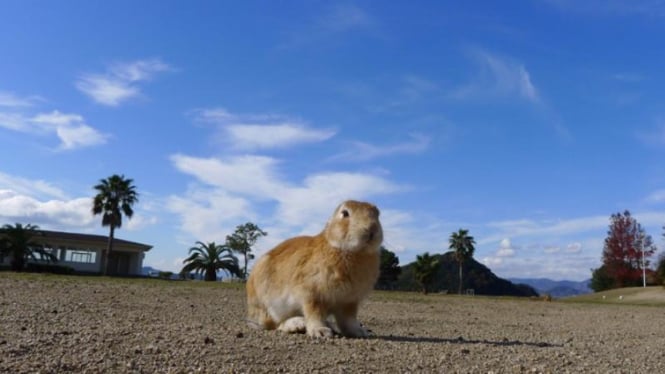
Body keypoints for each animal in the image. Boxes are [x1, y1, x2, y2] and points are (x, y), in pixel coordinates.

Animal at [245, 200, 382, 338]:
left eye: (377, 214)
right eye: (345, 213)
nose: (371, 230)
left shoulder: (348, 301)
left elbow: (348, 321)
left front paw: (360, 332)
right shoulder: (312, 295)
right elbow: (314, 314)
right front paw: (320, 331)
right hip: (268, 304)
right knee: (273, 324)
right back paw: (297, 324)